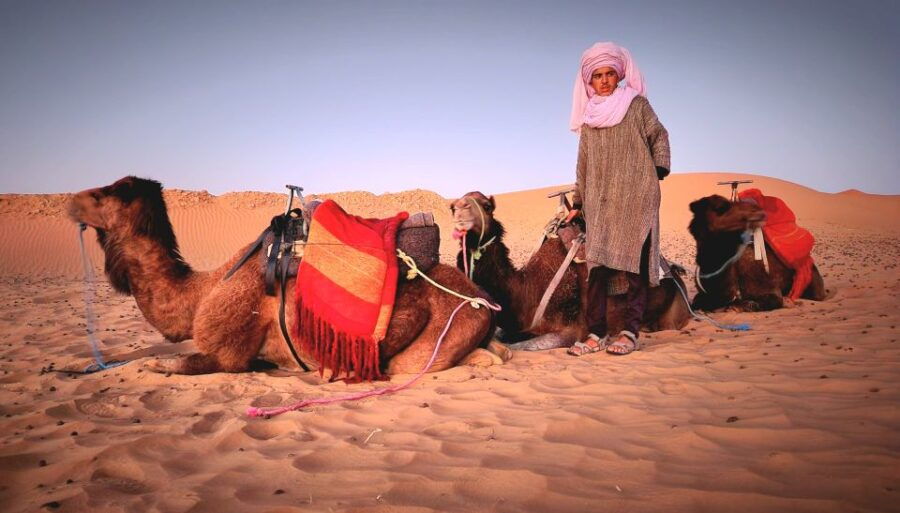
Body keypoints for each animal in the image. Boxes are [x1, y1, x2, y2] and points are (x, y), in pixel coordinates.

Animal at [68, 176, 498, 376]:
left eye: (107, 192)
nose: (72, 201)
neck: (201, 291)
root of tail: (484, 300)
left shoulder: (226, 354)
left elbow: (166, 364)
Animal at [450, 192, 691, 350]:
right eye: (454, 207)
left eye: (486, 206)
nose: (458, 208)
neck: (527, 288)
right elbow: (503, 336)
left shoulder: (571, 329)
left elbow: (519, 347)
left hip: (676, 312)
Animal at [688, 194, 827, 312]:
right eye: (721, 208)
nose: (756, 210)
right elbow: (696, 301)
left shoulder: (770, 290)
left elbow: (766, 301)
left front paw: (736, 306)